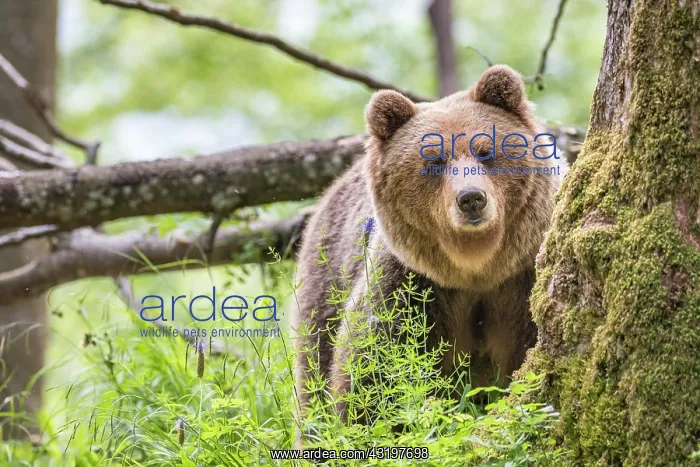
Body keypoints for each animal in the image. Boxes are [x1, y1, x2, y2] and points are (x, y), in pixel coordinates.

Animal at [292, 65, 561, 423]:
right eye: (434, 160)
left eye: (486, 150)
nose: (471, 198)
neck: (477, 268)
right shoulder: (410, 286)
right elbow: (373, 369)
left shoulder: (523, 280)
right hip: (327, 277)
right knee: (315, 361)